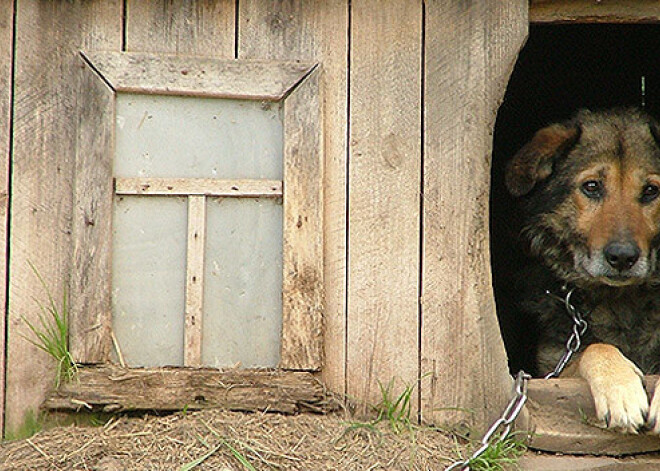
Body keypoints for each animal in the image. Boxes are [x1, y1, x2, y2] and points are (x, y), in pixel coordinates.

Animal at [506, 108, 660, 436]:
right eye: (592, 187)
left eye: (651, 191)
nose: (622, 257)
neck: (620, 301)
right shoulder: (554, 362)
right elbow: (596, 347)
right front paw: (620, 391)